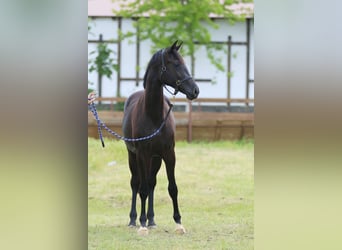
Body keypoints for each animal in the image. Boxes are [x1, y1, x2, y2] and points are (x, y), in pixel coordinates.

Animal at [122, 40, 198, 234]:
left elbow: (172, 188)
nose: (195, 90)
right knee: (136, 183)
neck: (154, 116)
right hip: (133, 156)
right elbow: (141, 189)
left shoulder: (169, 154)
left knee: (151, 183)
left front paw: (178, 223)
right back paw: (134, 219)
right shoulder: (142, 154)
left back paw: (152, 220)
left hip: (155, 159)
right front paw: (142, 224)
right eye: (176, 64)